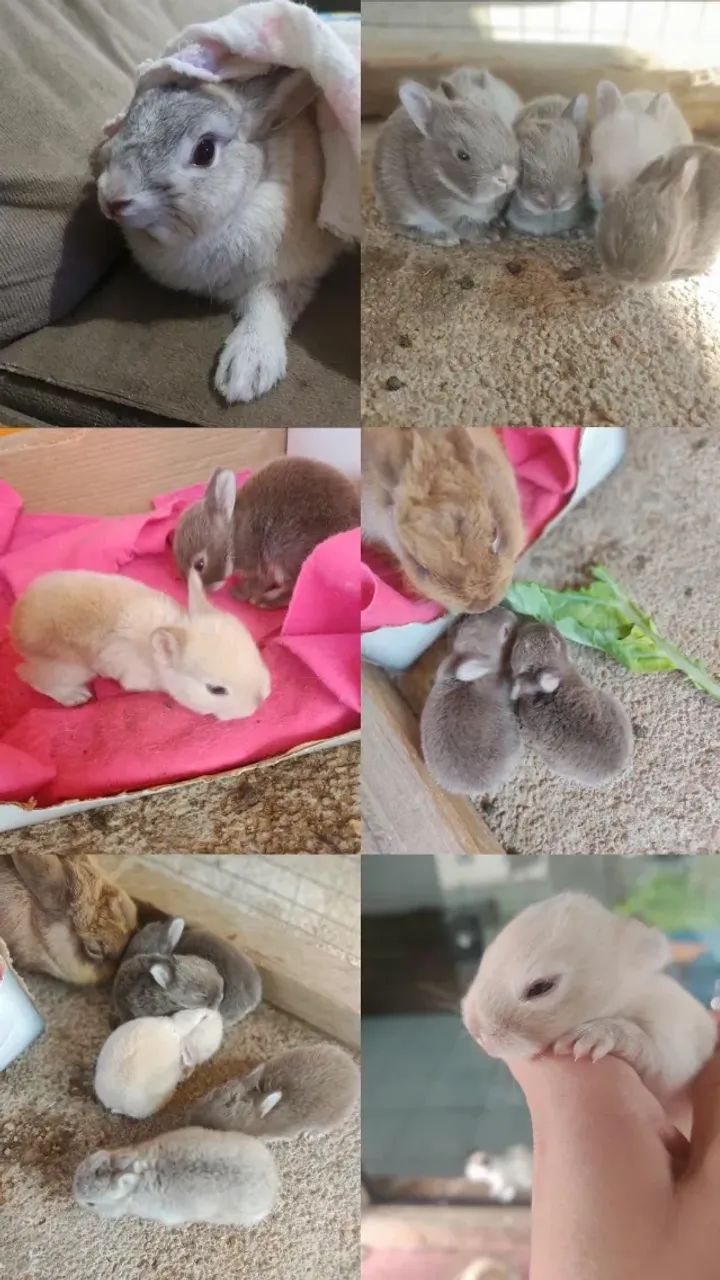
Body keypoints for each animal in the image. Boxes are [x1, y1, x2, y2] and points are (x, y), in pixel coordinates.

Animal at [11, 567, 270, 721]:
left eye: (254, 649)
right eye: (216, 690)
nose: (260, 700)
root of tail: (16, 626)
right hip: (69, 668)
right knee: (30, 676)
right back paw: (75, 696)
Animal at [95, 68, 343, 404]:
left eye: (205, 151)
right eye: (130, 116)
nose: (112, 197)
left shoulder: (292, 271)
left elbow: (268, 304)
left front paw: (245, 373)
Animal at [173, 457, 360, 606]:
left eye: (200, 565)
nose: (202, 592)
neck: (233, 536)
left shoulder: (258, 562)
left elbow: (259, 581)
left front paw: (239, 593)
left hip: (285, 551)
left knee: (293, 591)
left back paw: (264, 600)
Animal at [187, 1042, 360, 1140]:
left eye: (217, 1129)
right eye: (214, 1092)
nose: (189, 1118)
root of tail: (352, 1068)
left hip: (331, 1119)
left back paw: (310, 1134)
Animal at [374, 80, 519, 244]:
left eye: (503, 130)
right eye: (462, 155)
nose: (507, 177)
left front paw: (499, 222)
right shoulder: (444, 208)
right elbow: (465, 227)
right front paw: (487, 235)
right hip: (403, 208)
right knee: (402, 227)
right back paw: (442, 238)